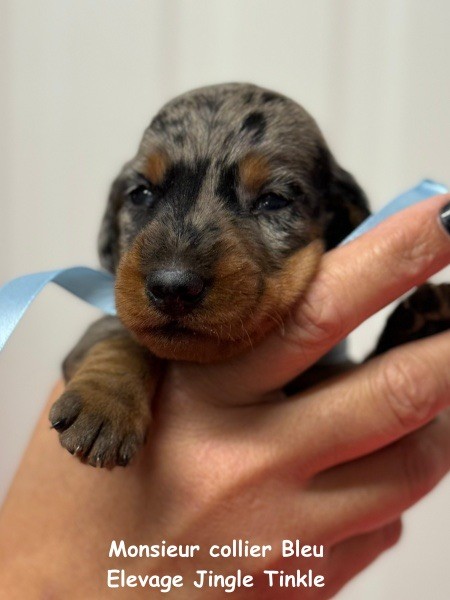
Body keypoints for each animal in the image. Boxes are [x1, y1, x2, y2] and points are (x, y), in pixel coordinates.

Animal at [49, 83, 450, 468]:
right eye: (141, 193)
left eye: (273, 200)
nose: (172, 287)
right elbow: (121, 334)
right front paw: (105, 403)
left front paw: (416, 325)